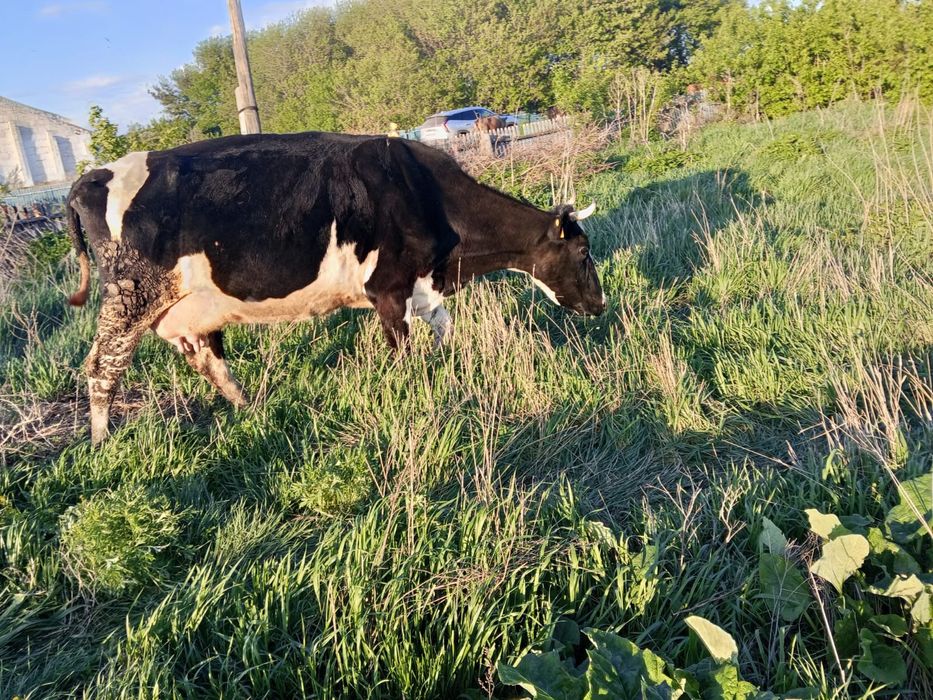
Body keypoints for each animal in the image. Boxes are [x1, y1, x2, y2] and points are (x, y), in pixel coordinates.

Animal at [66, 133, 605, 444]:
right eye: (583, 252)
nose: (599, 304)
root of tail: (91, 177)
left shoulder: (422, 286)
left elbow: (445, 328)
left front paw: (449, 366)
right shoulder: (388, 290)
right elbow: (402, 352)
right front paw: (417, 392)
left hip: (187, 308)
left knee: (208, 359)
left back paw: (253, 410)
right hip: (129, 296)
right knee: (101, 367)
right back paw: (101, 443)